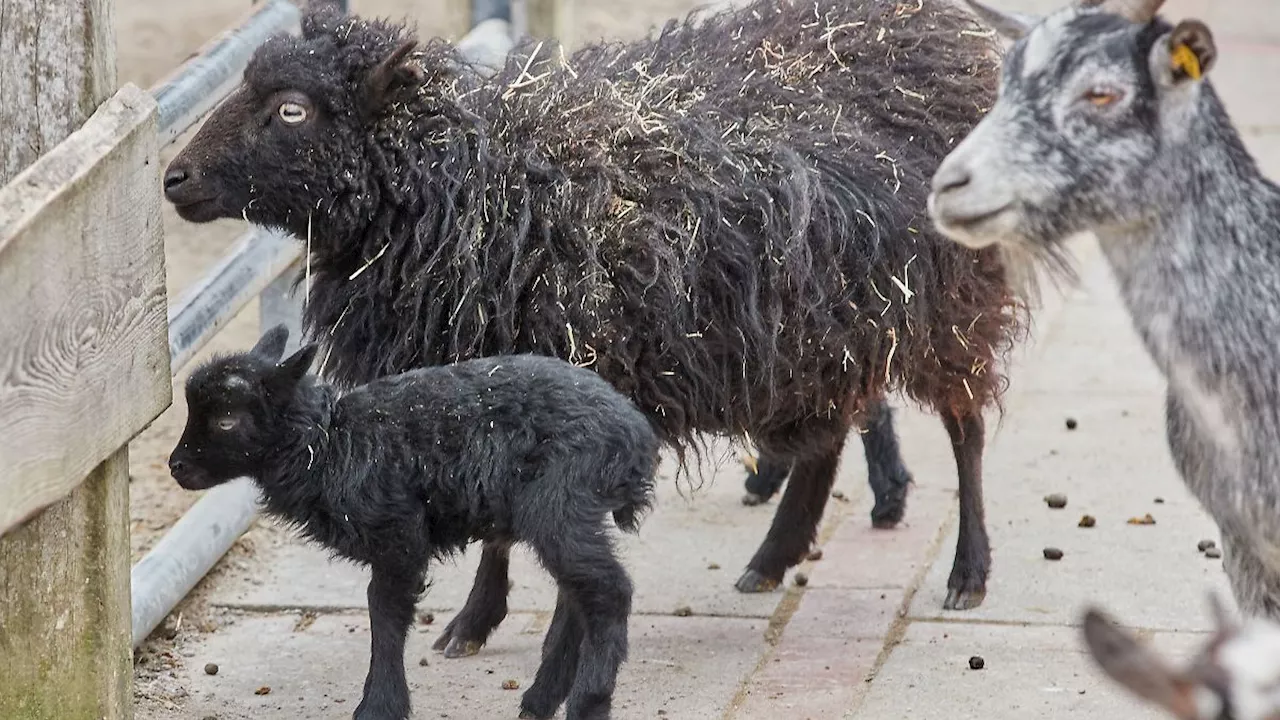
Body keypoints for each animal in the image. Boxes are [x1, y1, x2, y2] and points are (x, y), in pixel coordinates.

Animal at [160, 0, 1024, 653]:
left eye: (291, 110)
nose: (173, 177)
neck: (476, 187)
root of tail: (941, 34)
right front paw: (476, 623)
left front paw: (500, 623)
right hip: (822, 328)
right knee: (832, 430)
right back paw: (774, 558)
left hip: (943, 299)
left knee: (966, 427)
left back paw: (969, 573)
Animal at [166, 325, 660, 717]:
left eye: (227, 420)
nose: (176, 467)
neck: (330, 444)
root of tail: (637, 439)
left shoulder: (399, 534)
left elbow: (384, 612)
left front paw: (379, 705)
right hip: (564, 515)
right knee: (580, 594)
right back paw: (540, 700)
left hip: (561, 503)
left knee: (609, 592)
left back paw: (586, 703)